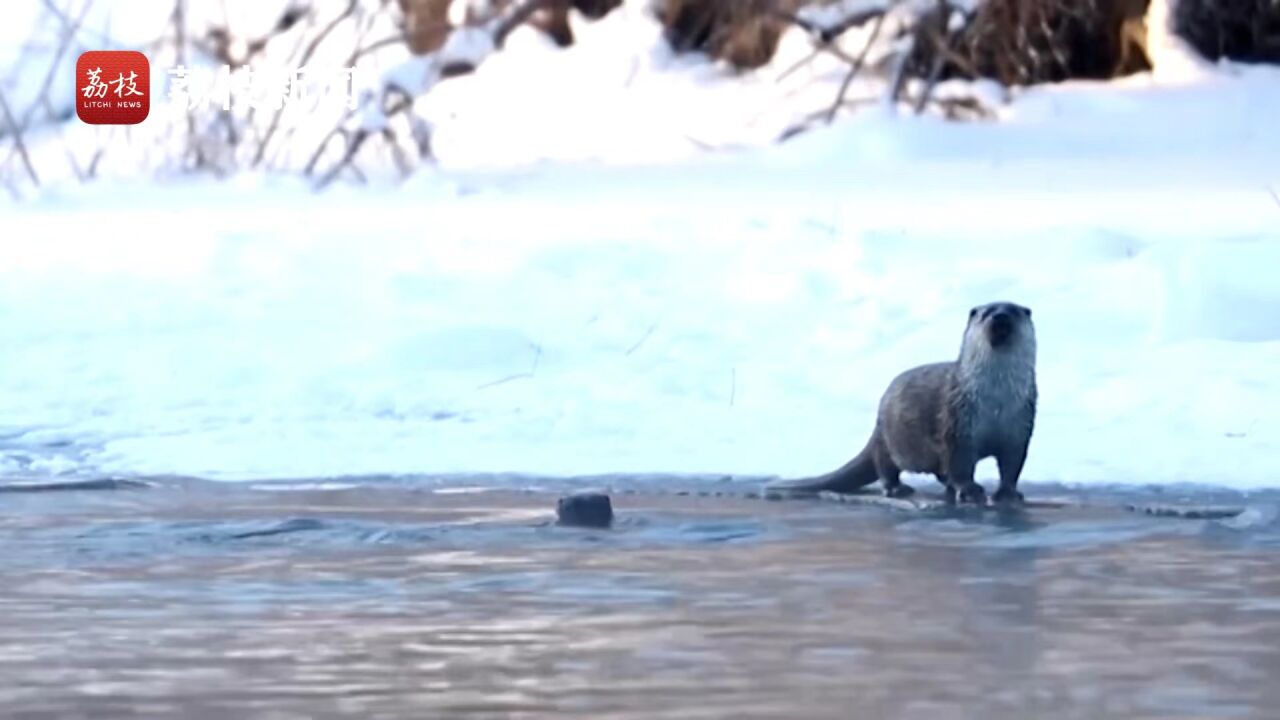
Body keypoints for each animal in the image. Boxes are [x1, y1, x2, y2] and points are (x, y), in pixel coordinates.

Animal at [762, 299, 1034, 502]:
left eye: (1014, 311)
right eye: (985, 313)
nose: (1000, 316)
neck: (996, 403)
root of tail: (878, 423)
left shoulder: (1020, 429)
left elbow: (1012, 465)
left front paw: (1008, 493)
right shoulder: (957, 425)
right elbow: (960, 464)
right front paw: (969, 490)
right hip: (890, 441)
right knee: (885, 466)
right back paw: (897, 488)